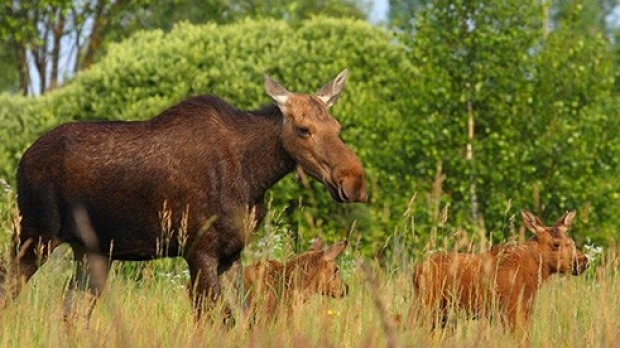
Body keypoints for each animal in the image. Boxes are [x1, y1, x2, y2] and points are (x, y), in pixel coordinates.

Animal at [0, 69, 366, 322]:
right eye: (303, 129)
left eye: (337, 127)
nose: (354, 181)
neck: (254, 176)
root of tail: (22, 160)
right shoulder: (199, 251)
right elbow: (220, 320)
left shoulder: (231, 255)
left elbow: (243, 317)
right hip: (34, 236)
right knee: (11, 289)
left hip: (91, 252)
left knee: (71, 312)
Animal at [414, 209, 588, 334]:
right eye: (556, 244)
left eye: (571, 240)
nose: (583, 261)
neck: (532, 274)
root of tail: (416, 270)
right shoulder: (510, 309)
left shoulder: (525, 309)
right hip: (427, 305)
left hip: (442, 314)